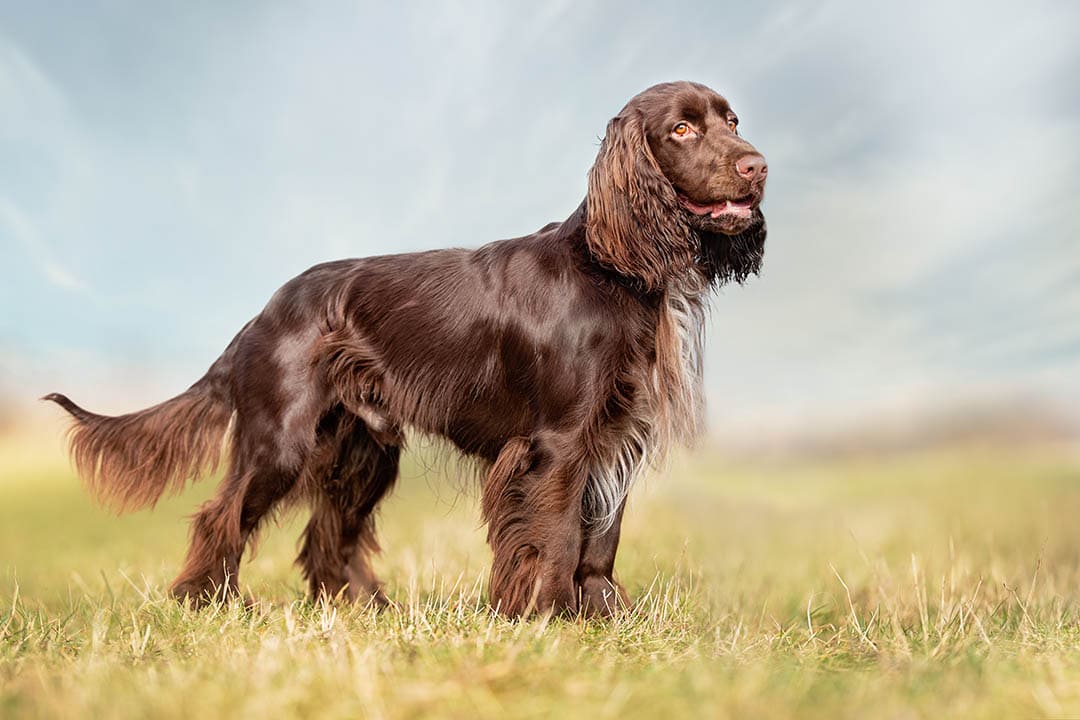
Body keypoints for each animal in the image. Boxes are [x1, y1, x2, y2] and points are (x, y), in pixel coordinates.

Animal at [44, 81, 768, 617]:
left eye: (733, 119)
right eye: (681, 130)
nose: (757, 165)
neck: (614, 266)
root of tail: (262, 314)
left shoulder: (616, 433)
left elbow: (601, 540)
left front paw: (603, 617)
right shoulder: (558, 443)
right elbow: (558, 533)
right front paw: (549, 615)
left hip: (362, 448)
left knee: (327, 535)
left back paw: (363, 607)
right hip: (282, 440)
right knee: (220, 515)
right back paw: (209, 601)